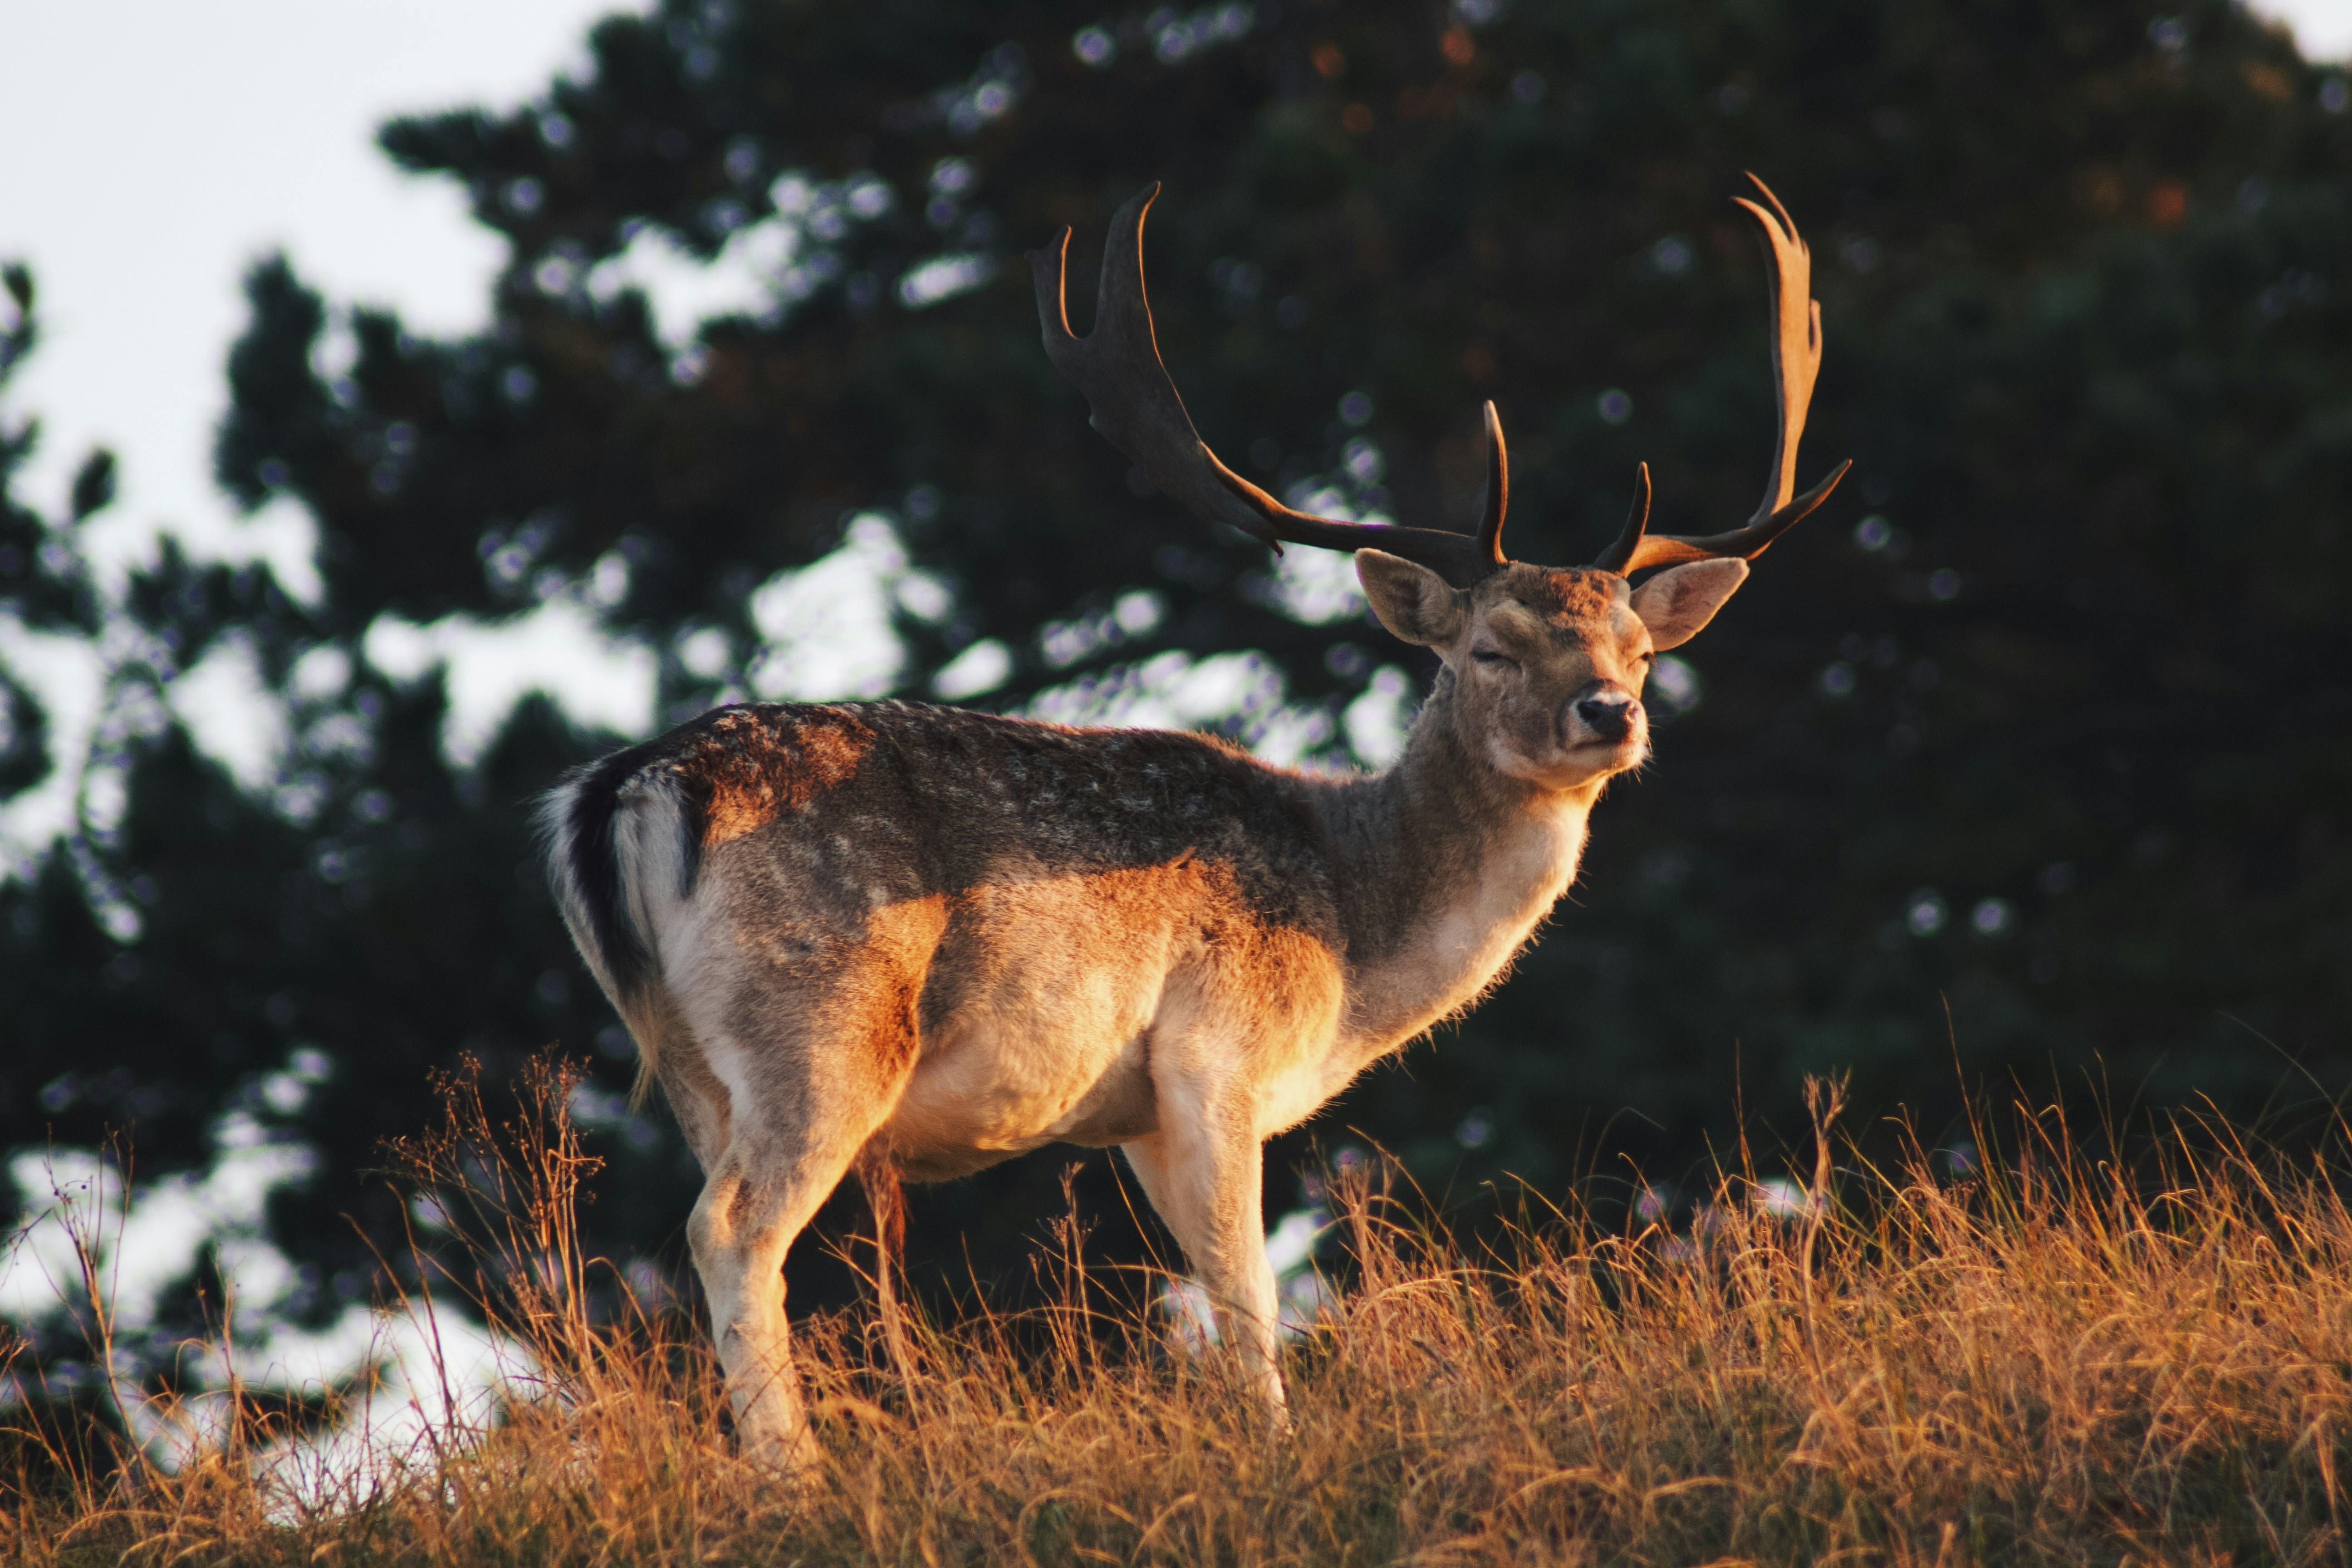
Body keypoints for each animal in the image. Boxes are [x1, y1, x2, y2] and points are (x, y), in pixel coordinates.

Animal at [540, 176, 1846, 1472]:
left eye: (1639, 647)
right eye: (1489, 648)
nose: (1610, 711)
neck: (1352, 944)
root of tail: (629, 791)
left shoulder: (1133, 1116)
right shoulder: (1220, 1057)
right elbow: (1249, 1302)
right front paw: (1280, 1456)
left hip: (691, 1064)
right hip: (822, 1030)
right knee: (732, 1231)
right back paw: (794, 1475)